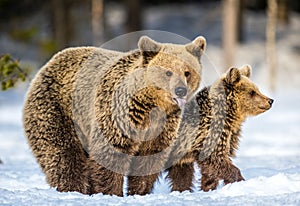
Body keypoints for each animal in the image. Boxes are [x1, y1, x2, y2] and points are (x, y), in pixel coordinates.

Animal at [22, 34, 206, 196]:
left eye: (187, 72)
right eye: (168, 72)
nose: (180, 90)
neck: (151, 106)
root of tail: (49, 63)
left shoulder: (161, 128)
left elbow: (148, 161)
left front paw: (138, 191)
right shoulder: (117, 115)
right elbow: (110, 154)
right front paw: (112, 192)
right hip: (57, 111)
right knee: (63, 155)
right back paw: (73, 189)